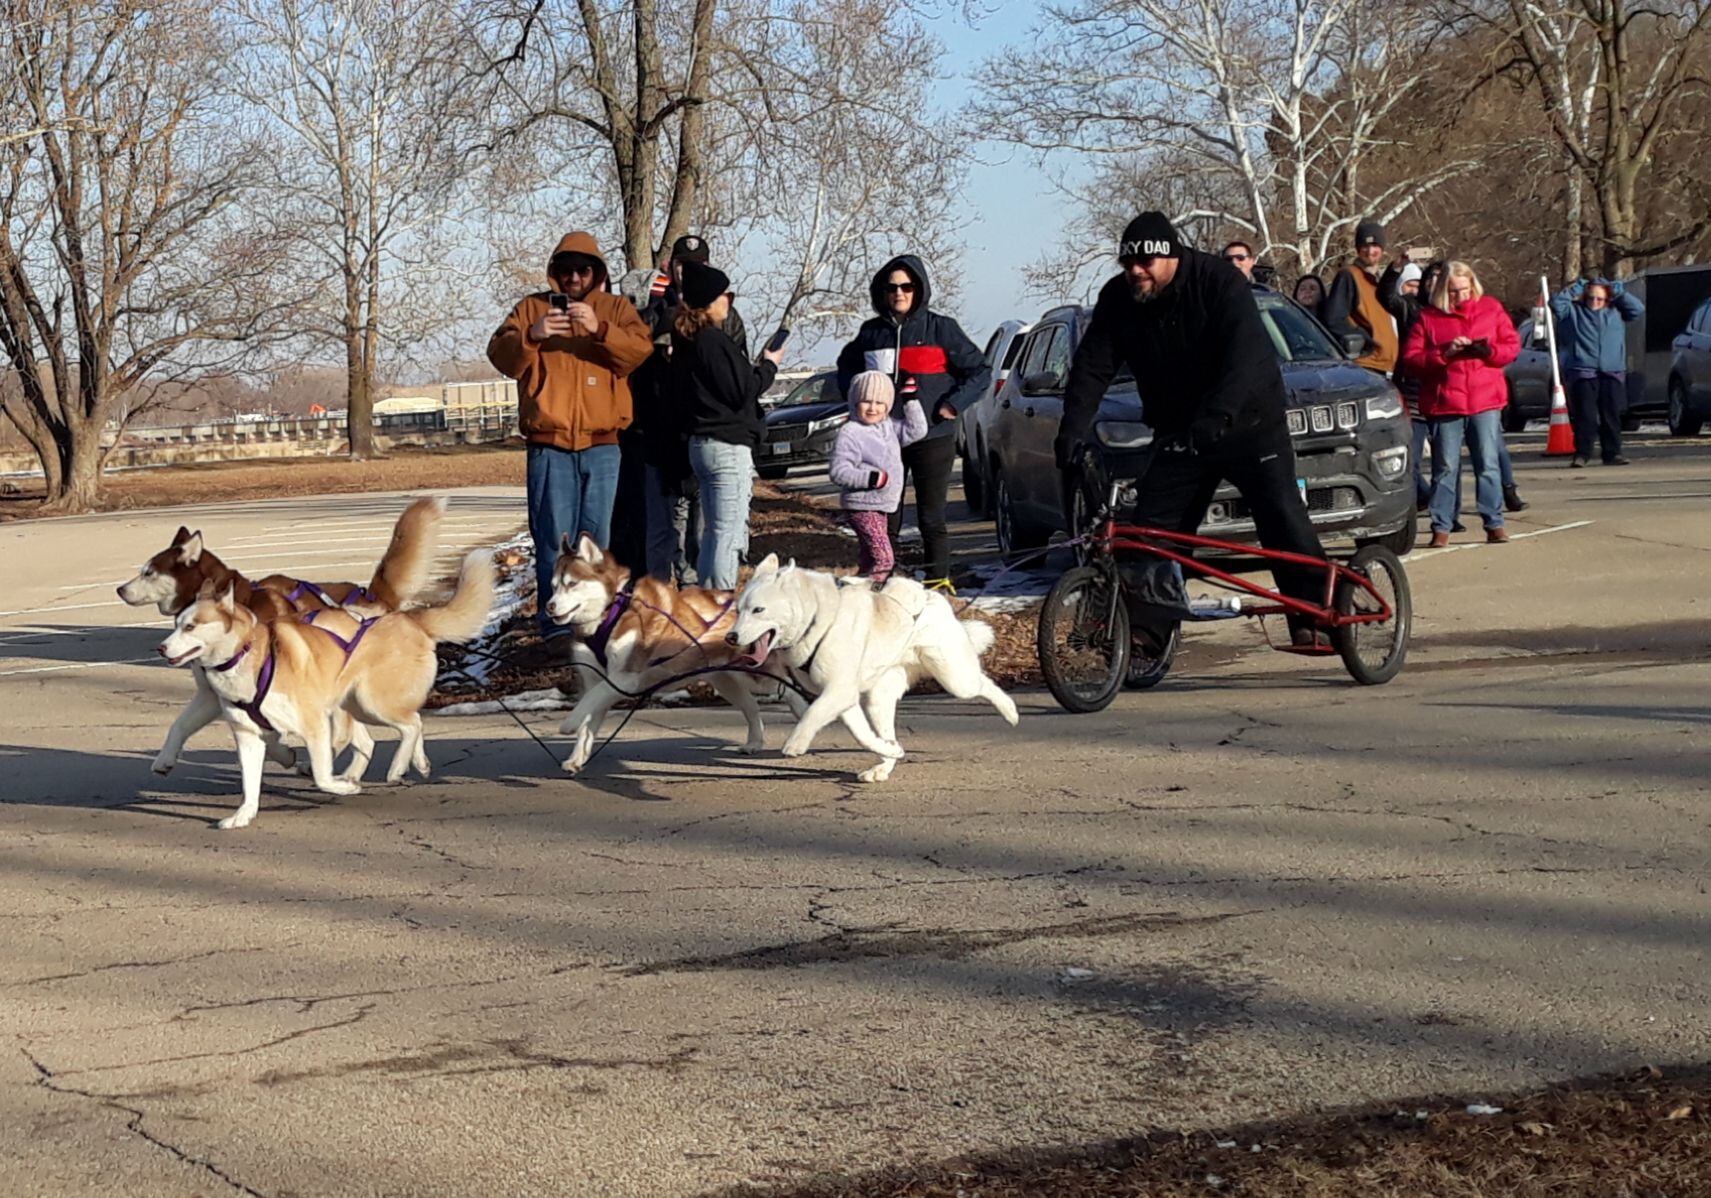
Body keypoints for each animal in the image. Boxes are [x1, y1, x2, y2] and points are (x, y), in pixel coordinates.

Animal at [157, 547, 492, 828]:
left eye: (191, 626)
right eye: (177, 624)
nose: (161, 647)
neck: (249, 654)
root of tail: (408, 619)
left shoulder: (315, 724)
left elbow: (321, 775)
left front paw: (340, 786)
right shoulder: (246, 734)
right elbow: (249, 782)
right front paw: (243, 816)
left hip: (370, 701)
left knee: (411, 724)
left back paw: (396, 767)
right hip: (356, 704)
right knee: (410, 723)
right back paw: (414, 762)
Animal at [544, 530, 790, 773]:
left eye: (572, 583)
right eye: (554, 586)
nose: (549, 606)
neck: (611, 613)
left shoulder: (625, 679)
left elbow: (589, 701)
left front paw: (569, 723)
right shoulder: (596, 680)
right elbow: (588, 720)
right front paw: (576, 758)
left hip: (756, 674)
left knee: (789, 692)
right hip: (725, 680)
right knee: (752, 706)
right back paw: (755, 742)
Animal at [725, 554, 1012, 780]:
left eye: (758, 610)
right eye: (738, 610)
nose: (731, 637)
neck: (817, 619)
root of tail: (932, 595)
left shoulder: (838, 691)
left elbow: (811, 714)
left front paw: (796, 742)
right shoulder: (844, 699)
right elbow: (862, 735)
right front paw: (889, 749)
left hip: (955, 679)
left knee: (984, 684)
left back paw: (1010, 710)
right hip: (878, 699)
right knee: (888, 732)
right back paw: (884, 766)